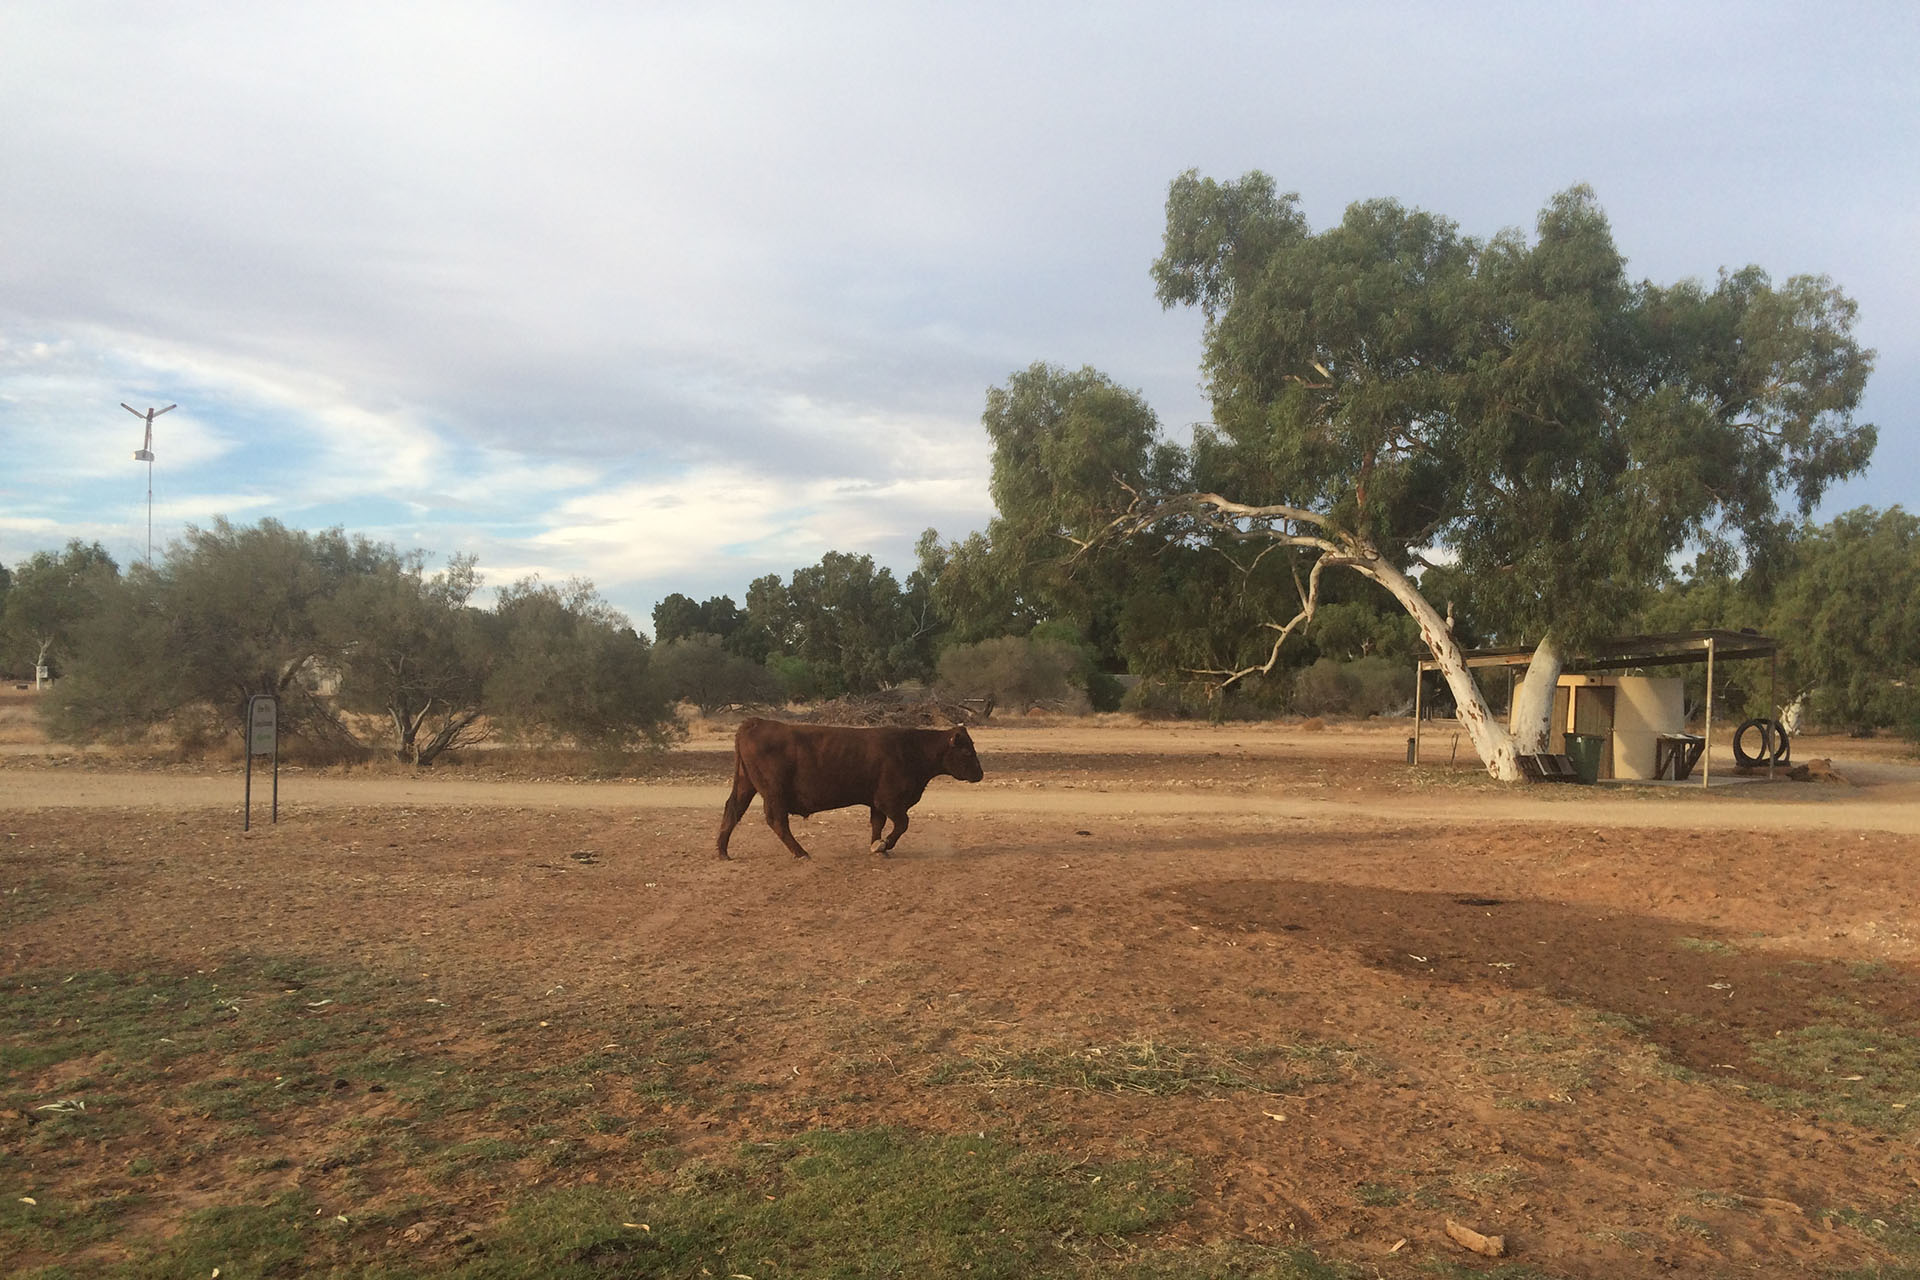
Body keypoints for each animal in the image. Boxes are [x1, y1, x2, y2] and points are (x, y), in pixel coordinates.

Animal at [721, 721, 990, 859]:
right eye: (967, 751)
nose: (980, 774)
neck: (912, 749)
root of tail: (755, 723)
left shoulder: (876, 803)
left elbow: (877, 824)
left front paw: (877, 847)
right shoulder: (889, 801)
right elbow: (902, 824)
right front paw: (883, 845)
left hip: (745, 785)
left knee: (732, 810)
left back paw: (722, 851)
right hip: (775, 794)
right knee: (777, 822)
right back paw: (801, 853)